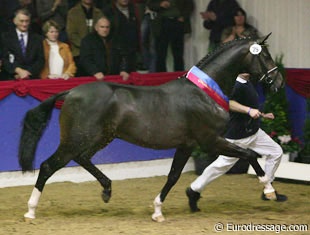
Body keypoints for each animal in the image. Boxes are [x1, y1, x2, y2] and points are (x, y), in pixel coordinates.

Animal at [18, 33, 282, 222]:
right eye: (265, 55)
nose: (278, 81)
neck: (204, 92)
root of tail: (71, 92)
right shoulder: (210, 141)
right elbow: (250, 154)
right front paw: (269, 189)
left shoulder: (187, 145)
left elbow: (173, 176)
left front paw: (157, 211)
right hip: (77, 139)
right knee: (48, 165)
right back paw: (30, 211)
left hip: (99, 137)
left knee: (82, 159)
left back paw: (107, 190)